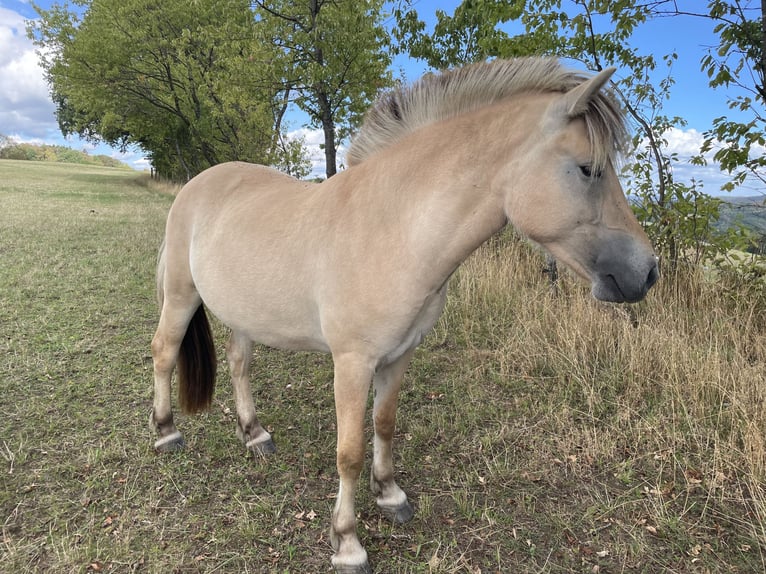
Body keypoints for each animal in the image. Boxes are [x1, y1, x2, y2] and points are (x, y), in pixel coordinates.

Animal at [149, 57, 658, 573]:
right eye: (588, 169)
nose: (647, 272)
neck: (392, 229)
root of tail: (200, 183)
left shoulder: (398, 356)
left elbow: (384, 425)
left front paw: (390, 496)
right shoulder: (352, 363)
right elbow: (349, 452)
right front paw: (347, 542)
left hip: (244, 314)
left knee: (238, 363)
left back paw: (254, 435)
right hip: (181, 296)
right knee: (164, 352)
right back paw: (167, 433)